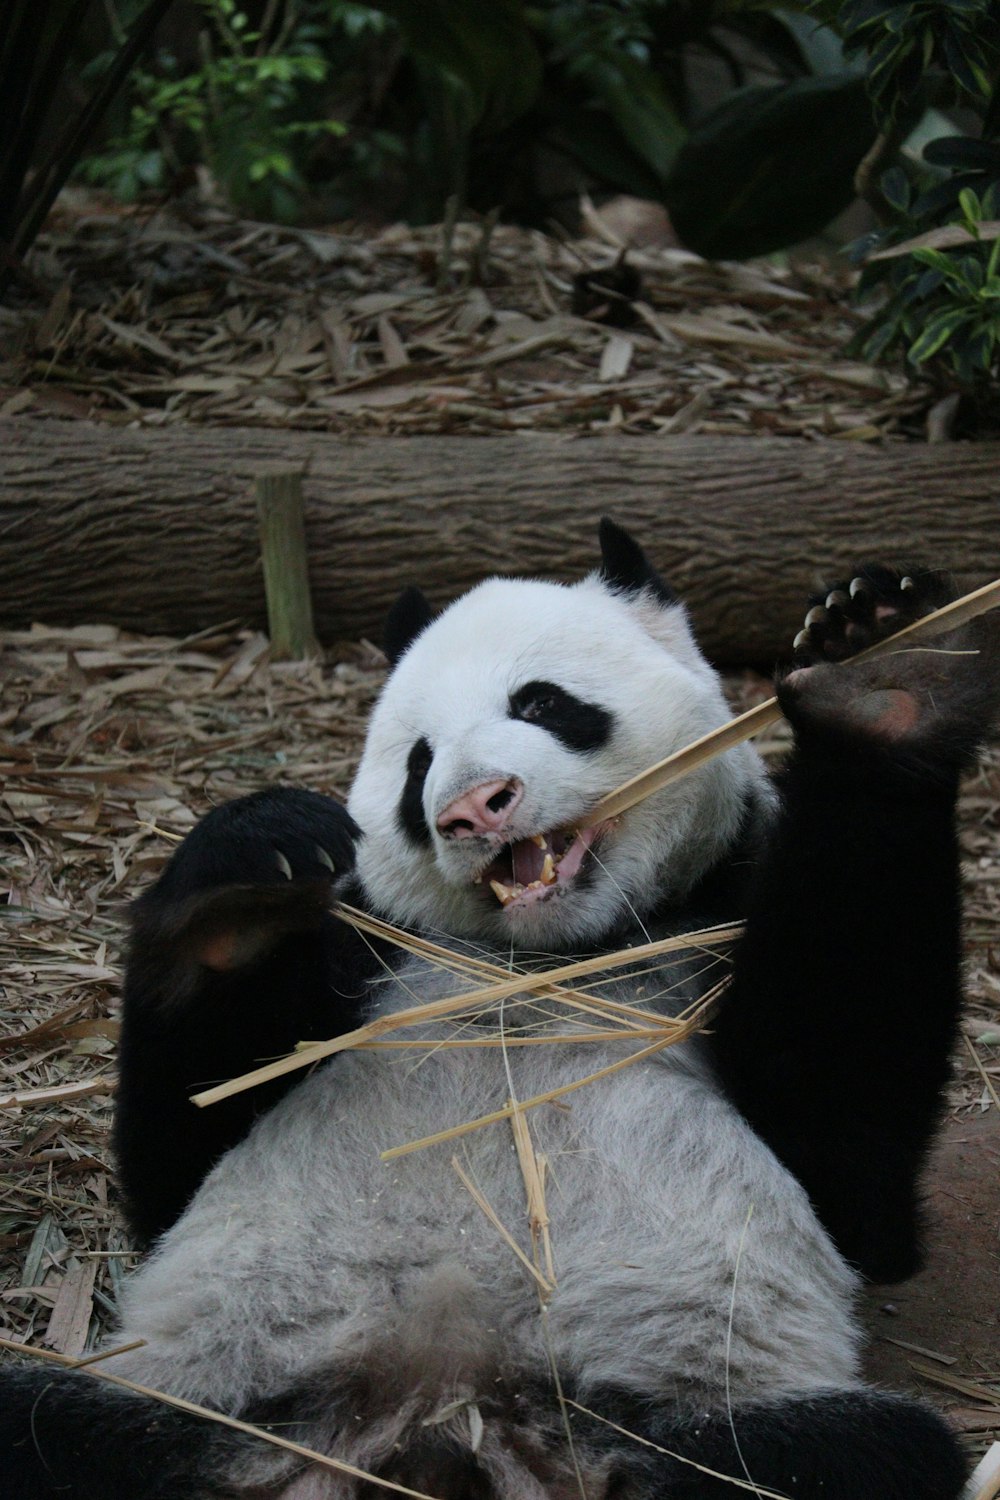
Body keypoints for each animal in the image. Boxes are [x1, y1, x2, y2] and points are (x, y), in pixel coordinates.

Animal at [3, 519, 995, 1500]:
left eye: (544, 705)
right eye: (418, 762)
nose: (475, 810)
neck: (544, 963)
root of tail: (443, 1424)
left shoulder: (718, 913)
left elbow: (851, 1159)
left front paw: (887, 673)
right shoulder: (372, 951)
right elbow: (173, 1171)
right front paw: (241, 894)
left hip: (678, 1417)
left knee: (852, 1454)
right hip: (213, 1409)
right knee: (50, 1428)